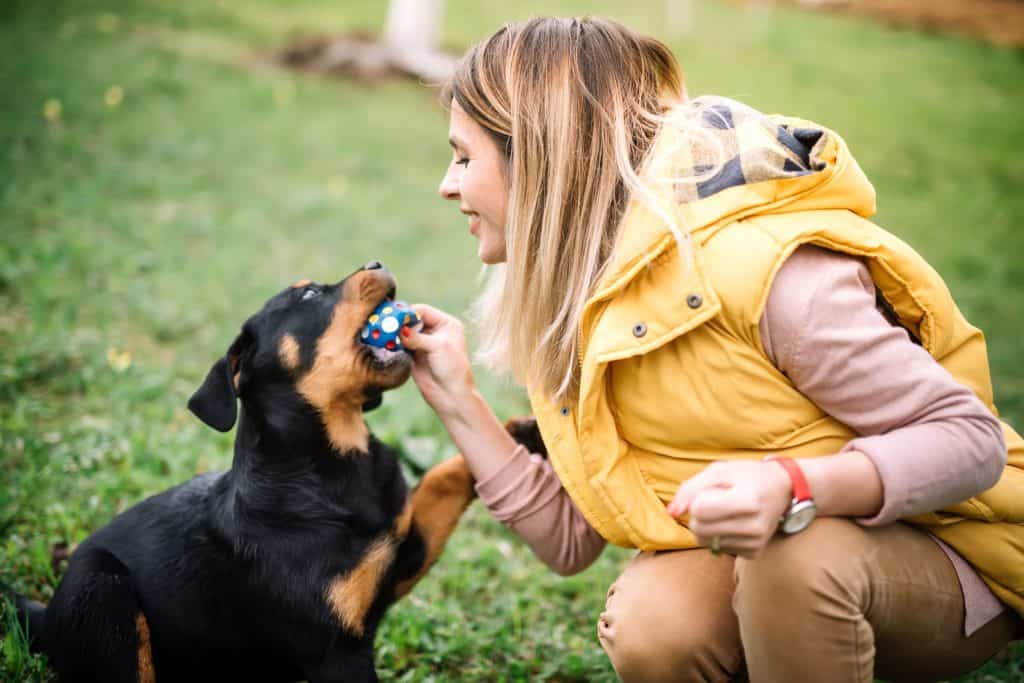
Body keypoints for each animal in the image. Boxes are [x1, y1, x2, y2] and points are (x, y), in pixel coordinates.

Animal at [4, 262, 487, 683]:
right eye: (309, 294)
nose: (377, 261)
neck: (332, 460)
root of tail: (47, 618)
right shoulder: (336, 651)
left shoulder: (402, 555)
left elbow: (446, 475)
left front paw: (507, 427)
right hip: (103, 593)